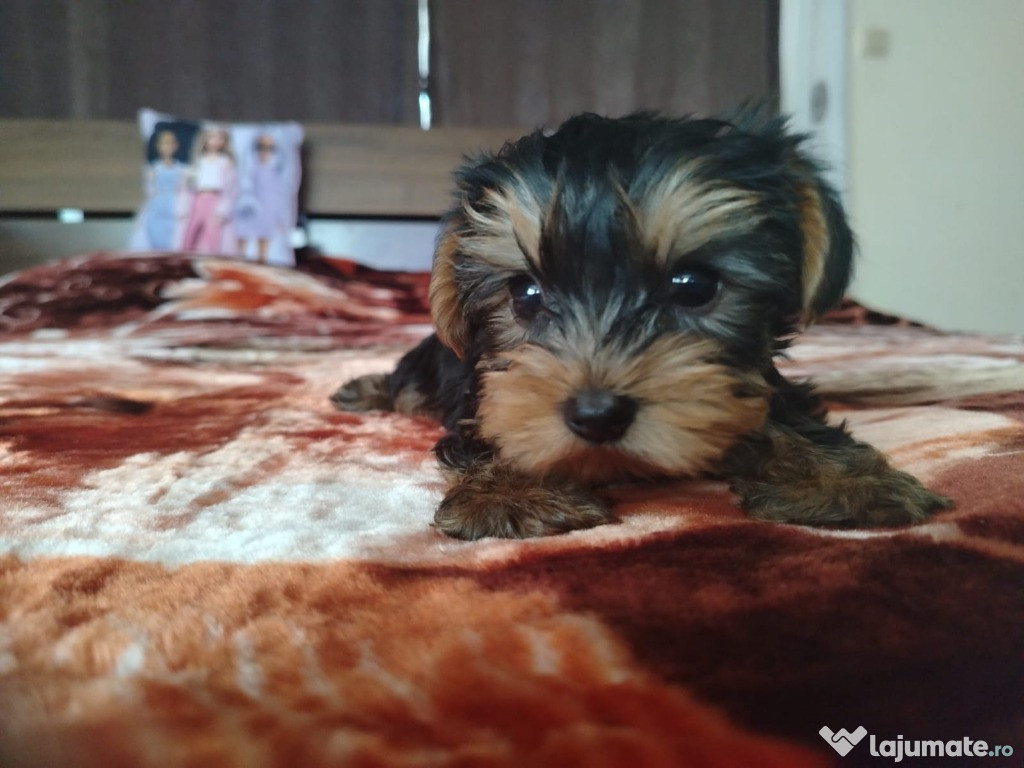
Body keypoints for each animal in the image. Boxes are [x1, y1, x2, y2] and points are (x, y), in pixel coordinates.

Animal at [331, 112, 946, 540]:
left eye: (694, 286)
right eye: (526, 294)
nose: (596, 414)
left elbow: (784, 416)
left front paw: (842, 482)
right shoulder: (481, 392)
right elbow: (498, 424)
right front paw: (513, 492)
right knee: (405, 385)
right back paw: (363, 389)